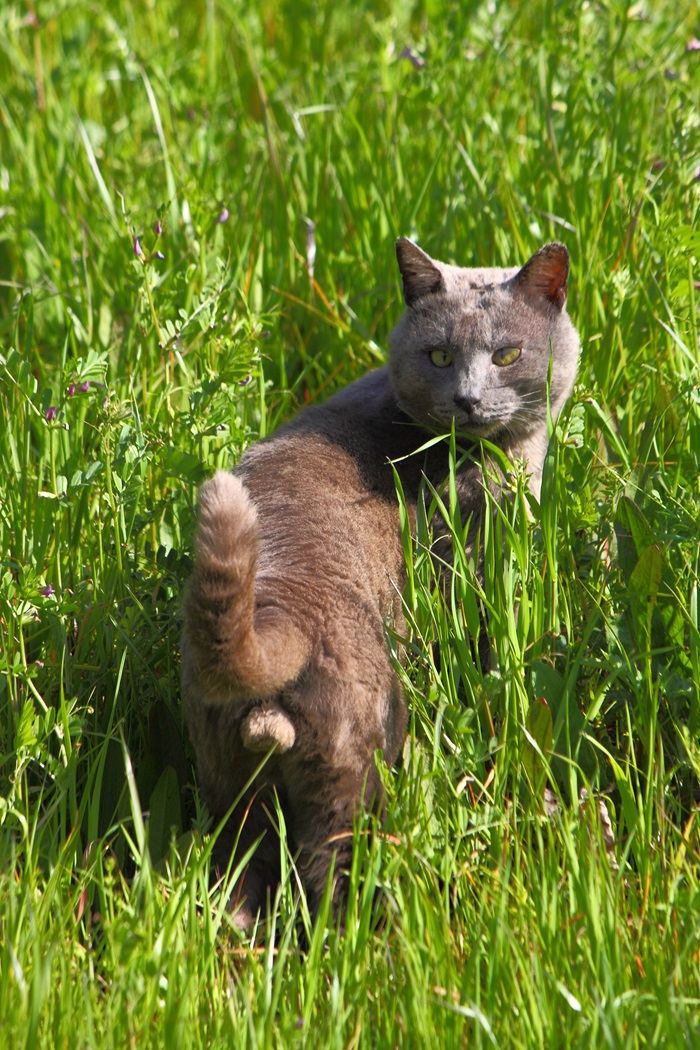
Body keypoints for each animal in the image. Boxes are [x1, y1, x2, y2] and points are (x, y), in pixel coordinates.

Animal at [180, 238, 579, 928]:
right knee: (329, 871)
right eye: (440, 355)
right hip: (358, 757)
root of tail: (276, 614)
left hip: (227, 781)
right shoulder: (468, 559)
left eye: (506, 354)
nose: (468, 400)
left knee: (237, 872)